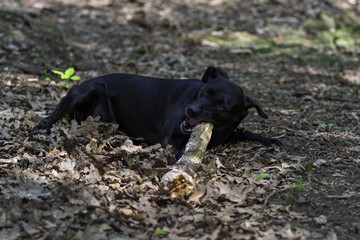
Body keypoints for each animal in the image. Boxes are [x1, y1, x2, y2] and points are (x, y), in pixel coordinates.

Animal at [35, 66, 282, 156]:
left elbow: (247, 132)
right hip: (84, 92)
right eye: (205, 91)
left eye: (222, 105)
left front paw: (270, 139)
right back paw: (43, 126)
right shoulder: (169, 137)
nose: (190, 111)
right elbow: (176, 152)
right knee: (54, 114)